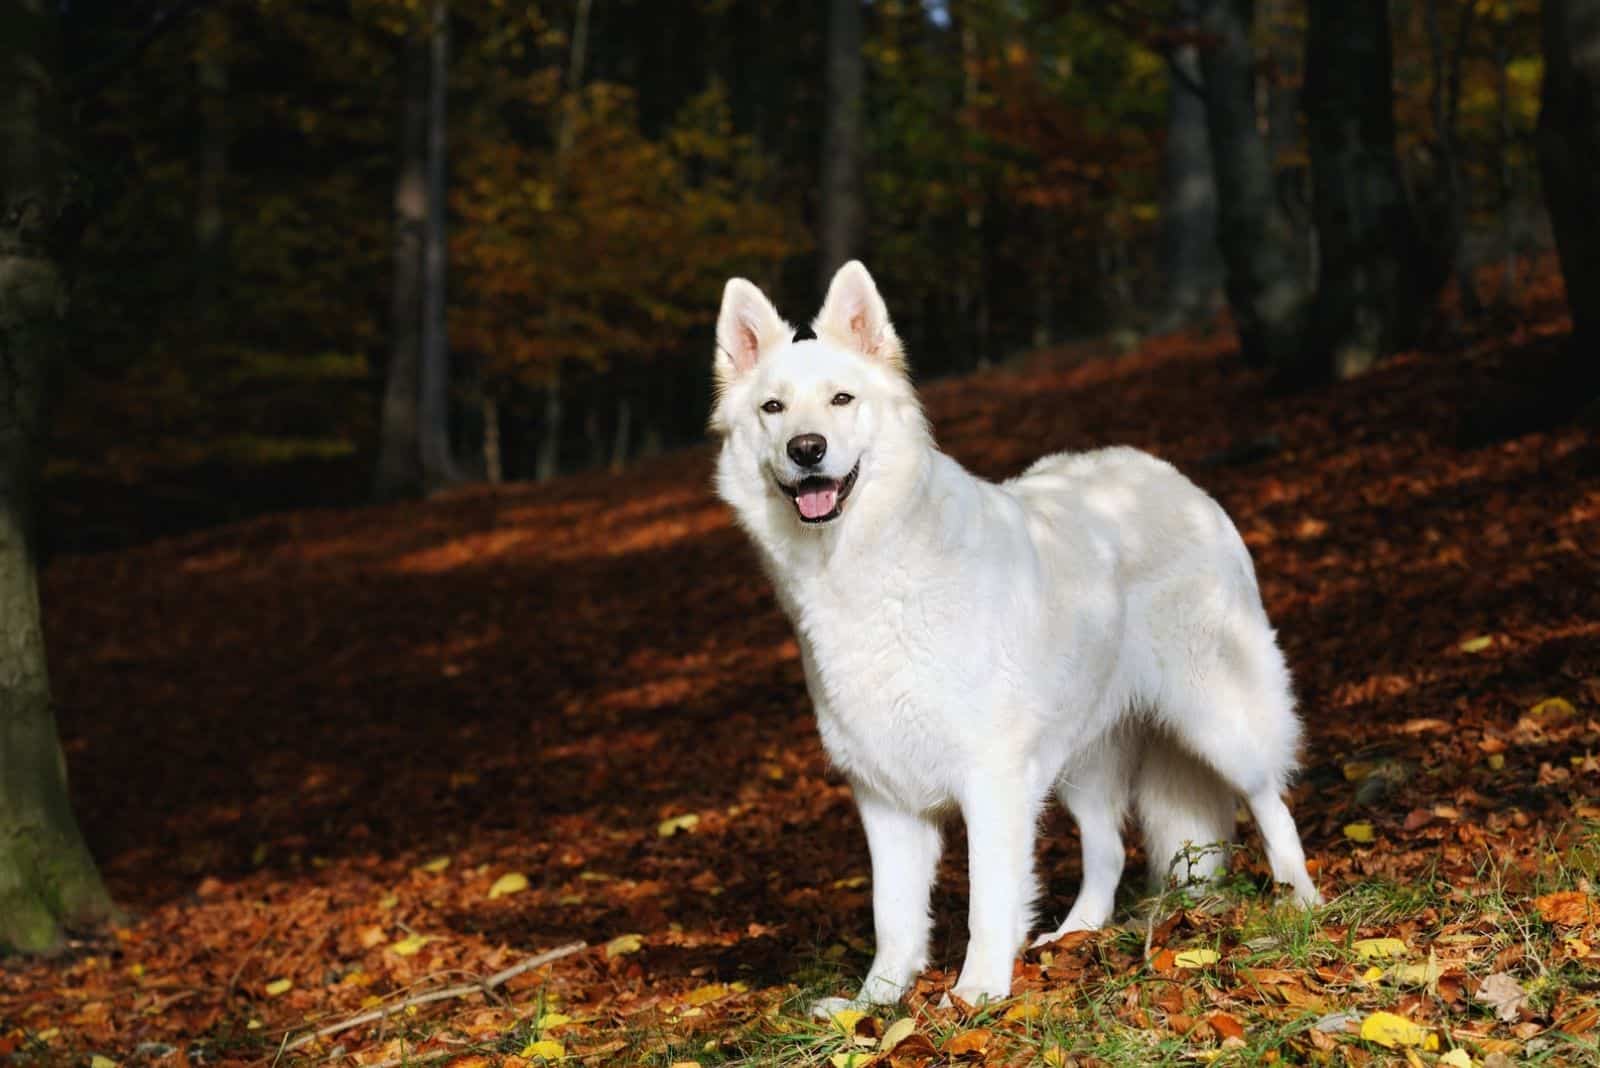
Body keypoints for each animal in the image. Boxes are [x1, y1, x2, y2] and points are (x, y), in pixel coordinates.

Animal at [710, 260, 1312, 1010]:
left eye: (841, 399)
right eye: (774, 408)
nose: (807, 450)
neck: (867, 564)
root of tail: (1168, 475)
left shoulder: (991, 780)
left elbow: (987, 900)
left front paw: (974, 996)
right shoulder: (884, 796)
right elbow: (892, 914)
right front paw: (875, 1004)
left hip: (1218, 716)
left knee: (1269, 798)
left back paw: (1300, 900)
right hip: (1078, 758)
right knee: (1109, 849)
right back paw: (1075, 936)